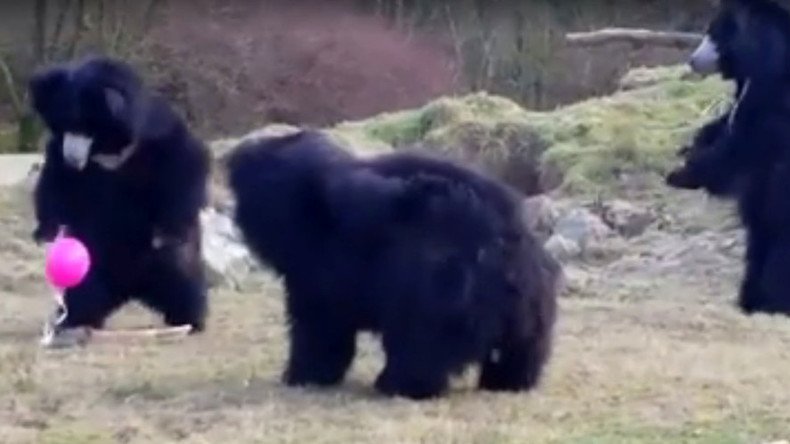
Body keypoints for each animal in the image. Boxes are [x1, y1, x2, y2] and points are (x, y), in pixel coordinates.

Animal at [29, 55, 212, 340]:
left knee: (181, 276)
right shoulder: (60, 155)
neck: (107, 150)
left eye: (85, 127)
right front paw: (45, 232)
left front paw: (170, 231)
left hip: (158, 262)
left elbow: (184, 161)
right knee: (84, 292)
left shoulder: (157, 132)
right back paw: (74, 322)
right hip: (92, 261)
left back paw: (190, 319)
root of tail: (131, 286)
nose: (73, 157)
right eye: (63, 124)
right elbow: (55, 183)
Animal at [227, 130, 564, 400]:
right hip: (533, 308)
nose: (238, 152)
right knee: (520, 353)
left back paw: (396, 384)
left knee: (421, 347)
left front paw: (301, 375)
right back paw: (509, 382)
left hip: (439, 289)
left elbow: (319, 325)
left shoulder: (325, 265)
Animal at [668, 0, 790, 318]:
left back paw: (770, 301)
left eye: (714, 32)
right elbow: (725, 124)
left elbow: (741, 143)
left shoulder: (772, 98)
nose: (692, 60)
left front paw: (684, 172)